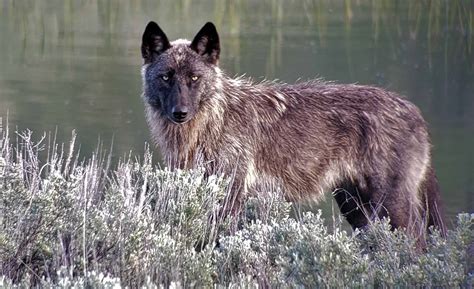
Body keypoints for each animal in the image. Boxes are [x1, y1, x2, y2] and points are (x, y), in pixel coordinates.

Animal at [139, 21, 446, 235]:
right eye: (166, 77)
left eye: (194, 78)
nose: (180, 113)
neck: (214, 122)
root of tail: (414, 110)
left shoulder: (230, 197)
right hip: (355, 207)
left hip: (390, 208)